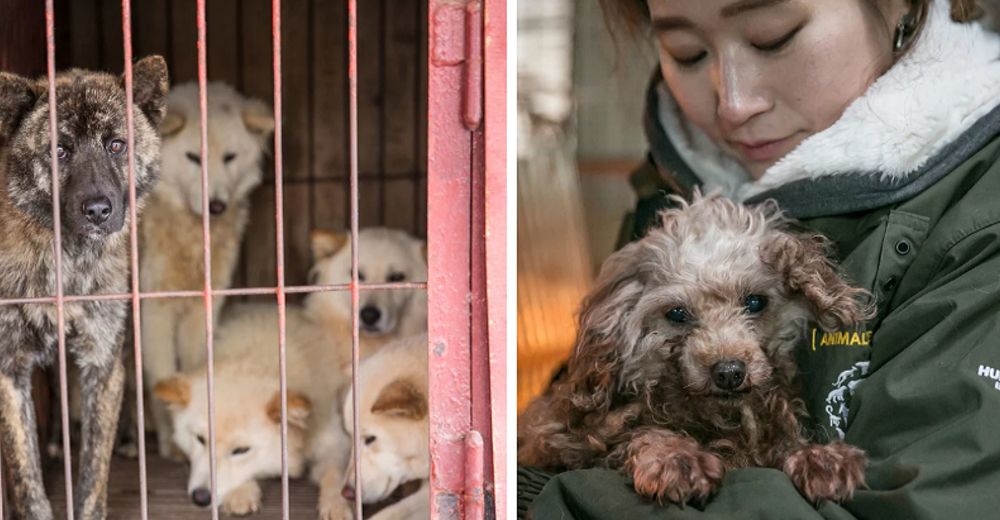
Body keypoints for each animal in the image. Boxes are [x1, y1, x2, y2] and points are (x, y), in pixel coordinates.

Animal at [0, 58, 168, 520]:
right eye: (59, 150)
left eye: (116, 145)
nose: (97, 210)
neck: (70, 260)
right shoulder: (9, 370)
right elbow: (27, 478)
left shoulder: (101, 361)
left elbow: (94, 473)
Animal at [140, 79, 274, 458]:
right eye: (193, 158)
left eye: (229, 157)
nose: (217, 205)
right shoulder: (154, 309)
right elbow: (161, 375)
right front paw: (172, 441)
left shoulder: (203, 307)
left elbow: (196, 367)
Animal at [520, 194, 872, 504]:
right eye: (677, 313)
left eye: (755, 302)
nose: (729, 373)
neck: (721, 415)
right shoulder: (568, 438)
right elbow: (641, 431)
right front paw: (677, 459)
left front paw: (819, 458)